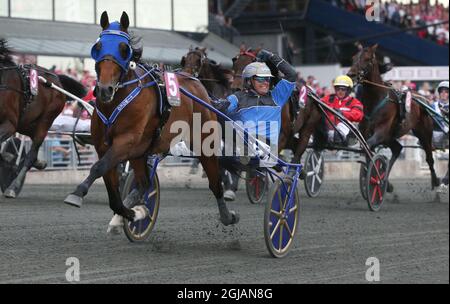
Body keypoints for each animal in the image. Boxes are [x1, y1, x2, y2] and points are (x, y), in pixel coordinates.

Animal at [0, 38, 87, 198]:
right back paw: (38, 163)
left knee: (31, 155)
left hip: (45, 120)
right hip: (26, 123)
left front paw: (8, 158)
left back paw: (13, 187)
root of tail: (57, 79)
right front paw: (9, 157)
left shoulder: (9, 124)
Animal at [64, 11, 239, 229]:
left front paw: (77, 193)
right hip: (141, 152)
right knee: (144, 182)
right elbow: (111, 189)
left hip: (203, 141)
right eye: (98, 47)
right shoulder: (106, 147)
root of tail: (194, 81)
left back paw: (227, 214)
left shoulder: (126, 141)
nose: (104, 89)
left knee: (215, 180)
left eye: (124, 49)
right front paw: (131, 213)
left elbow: (98, 168)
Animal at [348, 43, 440, 190]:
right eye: (353, 58)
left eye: (367, 59)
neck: (376, 99)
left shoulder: (381, 131)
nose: (351, 75)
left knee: (429, 157)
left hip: (424, 132)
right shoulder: (367, 133)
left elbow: (369, 147)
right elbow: (367, 149)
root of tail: (423, 99)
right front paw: (376, 177)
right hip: (390, 137)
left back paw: (435, 181)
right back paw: (386, 182)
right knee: (398, 149)